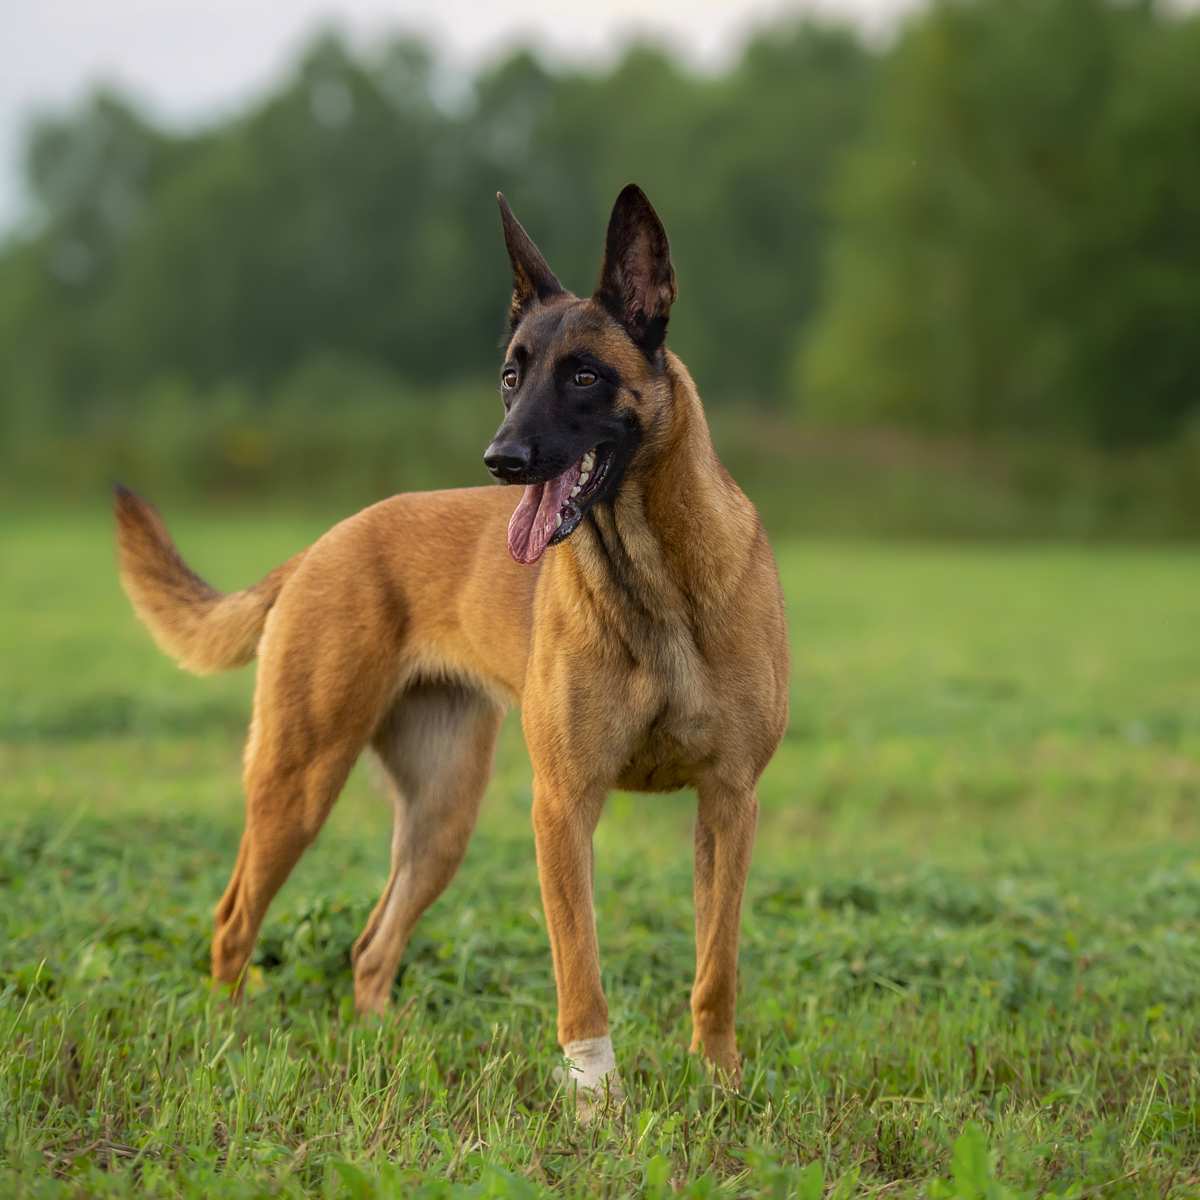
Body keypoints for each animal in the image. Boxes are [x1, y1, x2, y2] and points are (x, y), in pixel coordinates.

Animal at [112, 184, 787, 1104]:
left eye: (583, 374)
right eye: (510, 375)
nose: (500, 458)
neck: (655, 581)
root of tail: (323, 544)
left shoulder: (728, 803)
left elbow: (716, 968)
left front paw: (719, 1084)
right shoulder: (563, 807)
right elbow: (581, 973)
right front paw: (597, 1104)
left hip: (441, 817)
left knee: (370, 946)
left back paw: (379, 1042)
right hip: (299, 781)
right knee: (233, 921)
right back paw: (229, 1040)